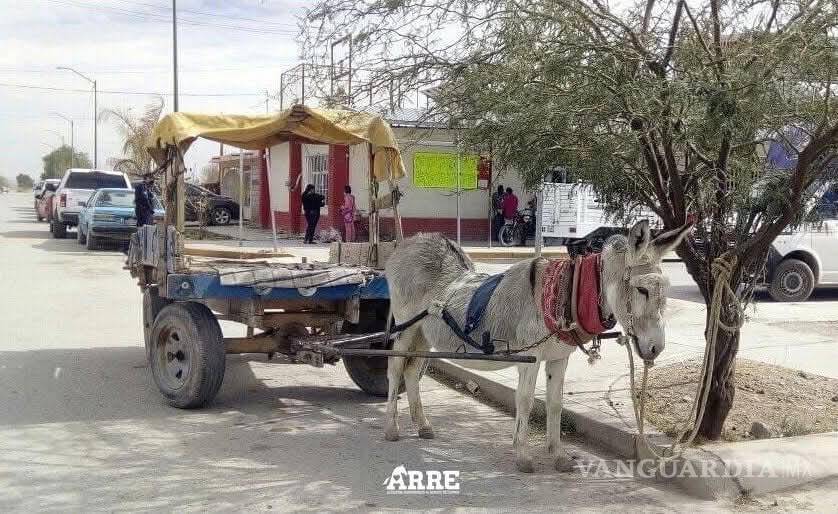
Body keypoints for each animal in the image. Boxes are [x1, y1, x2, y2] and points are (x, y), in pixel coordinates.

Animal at [383, 219, 693, 473]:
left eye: (665, 290)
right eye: (642, 290)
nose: (656, 349)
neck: (563, 296)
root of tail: (413, 241)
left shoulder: (559, 358)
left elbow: (555, 404)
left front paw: (558, 455)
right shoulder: (529, 358)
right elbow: (526, 401)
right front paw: (522, 455)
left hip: (424, 335)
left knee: (412, 371)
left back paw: (423, 426)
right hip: (405, 328)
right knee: (395, 369)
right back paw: (391, 429)